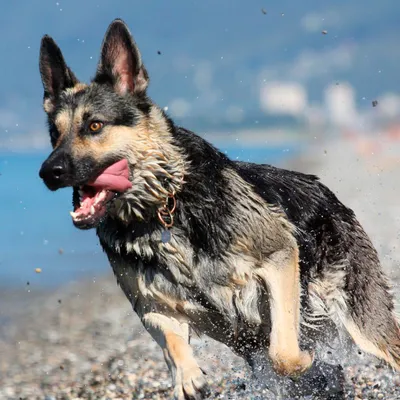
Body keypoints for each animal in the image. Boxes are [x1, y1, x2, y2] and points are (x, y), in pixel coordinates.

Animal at [38, 18, 400, 400]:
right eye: (54, 134)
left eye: (94, 126)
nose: (48, 172)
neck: (164, 207)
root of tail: (330, 195)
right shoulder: (152, 305)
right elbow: (173, 343)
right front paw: (187, 376)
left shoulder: (279, 258)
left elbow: (283, 353)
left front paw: (303, 359)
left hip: (364, 319)